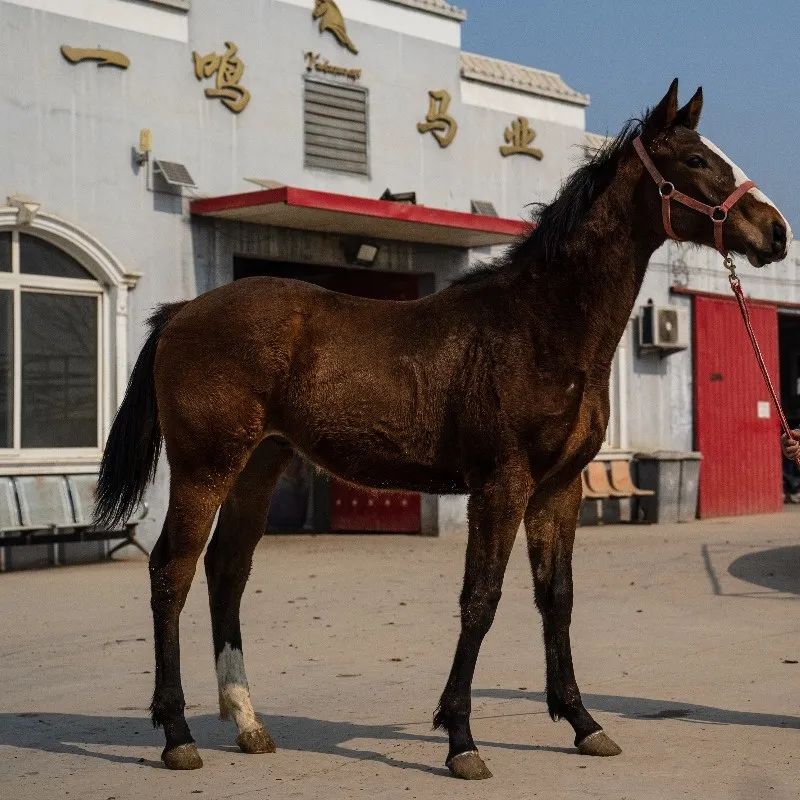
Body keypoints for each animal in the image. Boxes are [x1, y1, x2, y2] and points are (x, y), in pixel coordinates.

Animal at [97, 83, 792, 780]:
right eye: (696, 160)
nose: (777, 232)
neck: (539, 326)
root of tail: (182, 311)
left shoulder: (559, 490)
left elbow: (557, 599)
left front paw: (583, 723)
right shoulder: (501, 486)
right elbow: (481, 600)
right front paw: (461, 739)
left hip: (258, 465)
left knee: (226, 569)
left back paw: (247, 723)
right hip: (204, 468)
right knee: (172, 572)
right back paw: (177, 734)